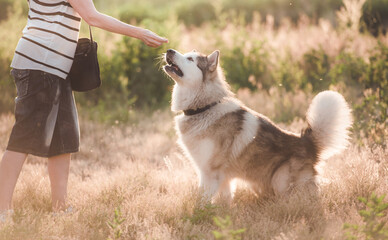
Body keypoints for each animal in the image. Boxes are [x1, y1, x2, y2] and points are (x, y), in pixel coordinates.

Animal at [162, 48, 354, 202]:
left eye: (190, 59)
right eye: (185, 54)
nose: (169, 50)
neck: (204, 108)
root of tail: (307, 142)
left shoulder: (210, 173)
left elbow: (200, 202)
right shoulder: (222, 177)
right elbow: (224, 200)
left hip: (280, 180)